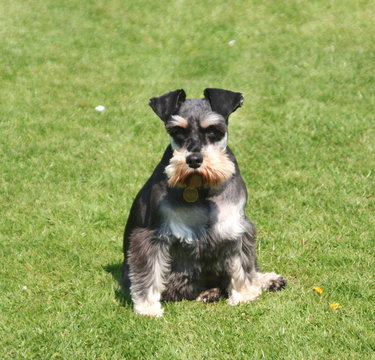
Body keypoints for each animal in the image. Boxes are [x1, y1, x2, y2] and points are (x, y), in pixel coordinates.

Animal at [122, 88, 286, 316]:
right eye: (177, 131)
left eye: (214, 130)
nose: (193, 160)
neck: (201, 189)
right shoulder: (152, 236)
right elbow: (149, 272)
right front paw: (147, 308)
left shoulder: (235, 228)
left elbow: (241, 265)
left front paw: (244, 294)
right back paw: (208, 292)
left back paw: (267, 280)